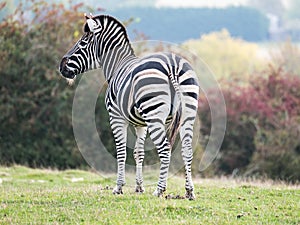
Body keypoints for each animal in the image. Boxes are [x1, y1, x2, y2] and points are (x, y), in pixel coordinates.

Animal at [58, 14, 199, 200]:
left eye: (82, 42)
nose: (61, 66)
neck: (116, 65)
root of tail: (171, 66)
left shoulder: (116, 117)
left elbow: (121, 152)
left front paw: (118, 187)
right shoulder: (141, 124)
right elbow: (138, 153)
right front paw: (139, 187)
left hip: (154, 115)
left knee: (165, 149)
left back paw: (160, 189)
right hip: (188, 113)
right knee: (187, 150)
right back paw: (189, 191)